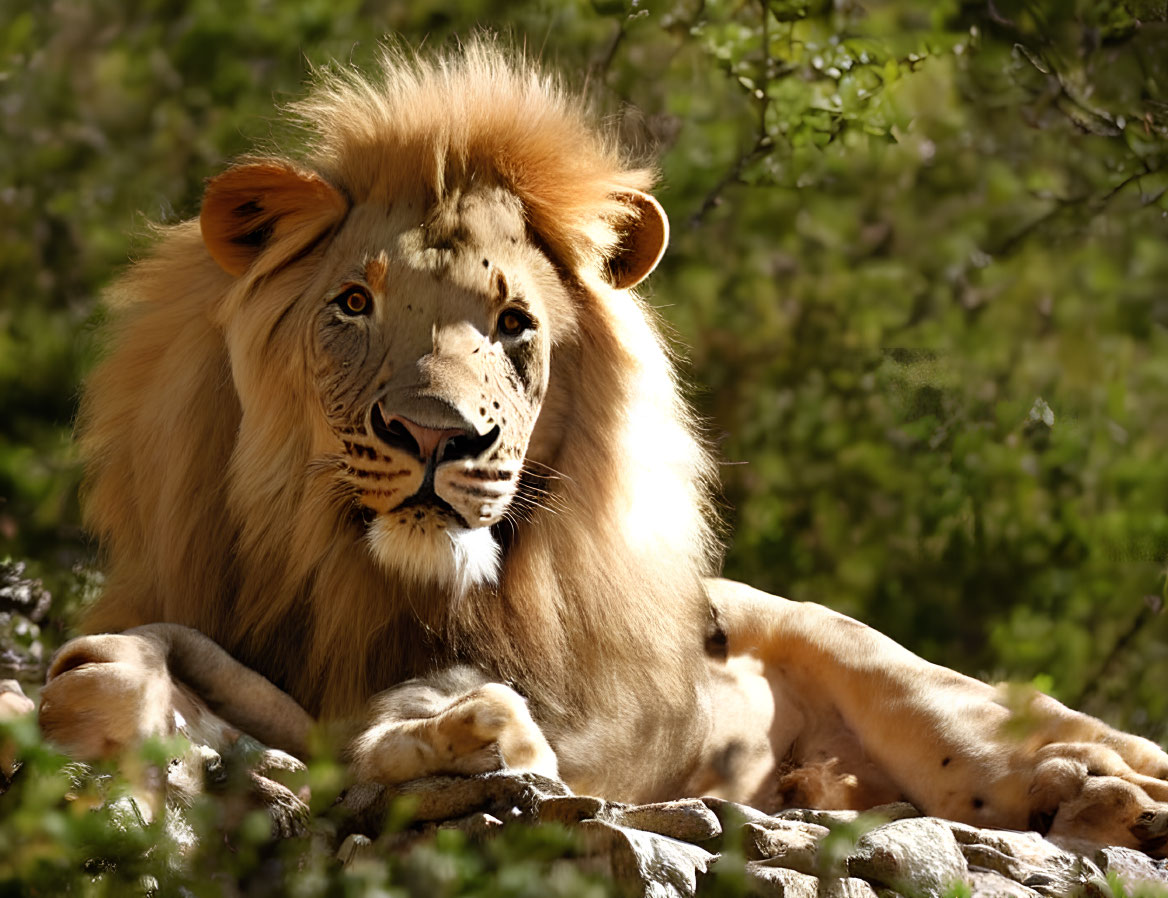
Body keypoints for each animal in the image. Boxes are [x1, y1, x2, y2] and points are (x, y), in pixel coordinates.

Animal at [34, 42, 1168, 854]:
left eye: (514, 325)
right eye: (353, 304)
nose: (440, 434)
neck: (370, 581)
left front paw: (458, 732)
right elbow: (144, 669)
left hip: (923, 699)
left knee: (1039, 758)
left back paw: (1110, 800)